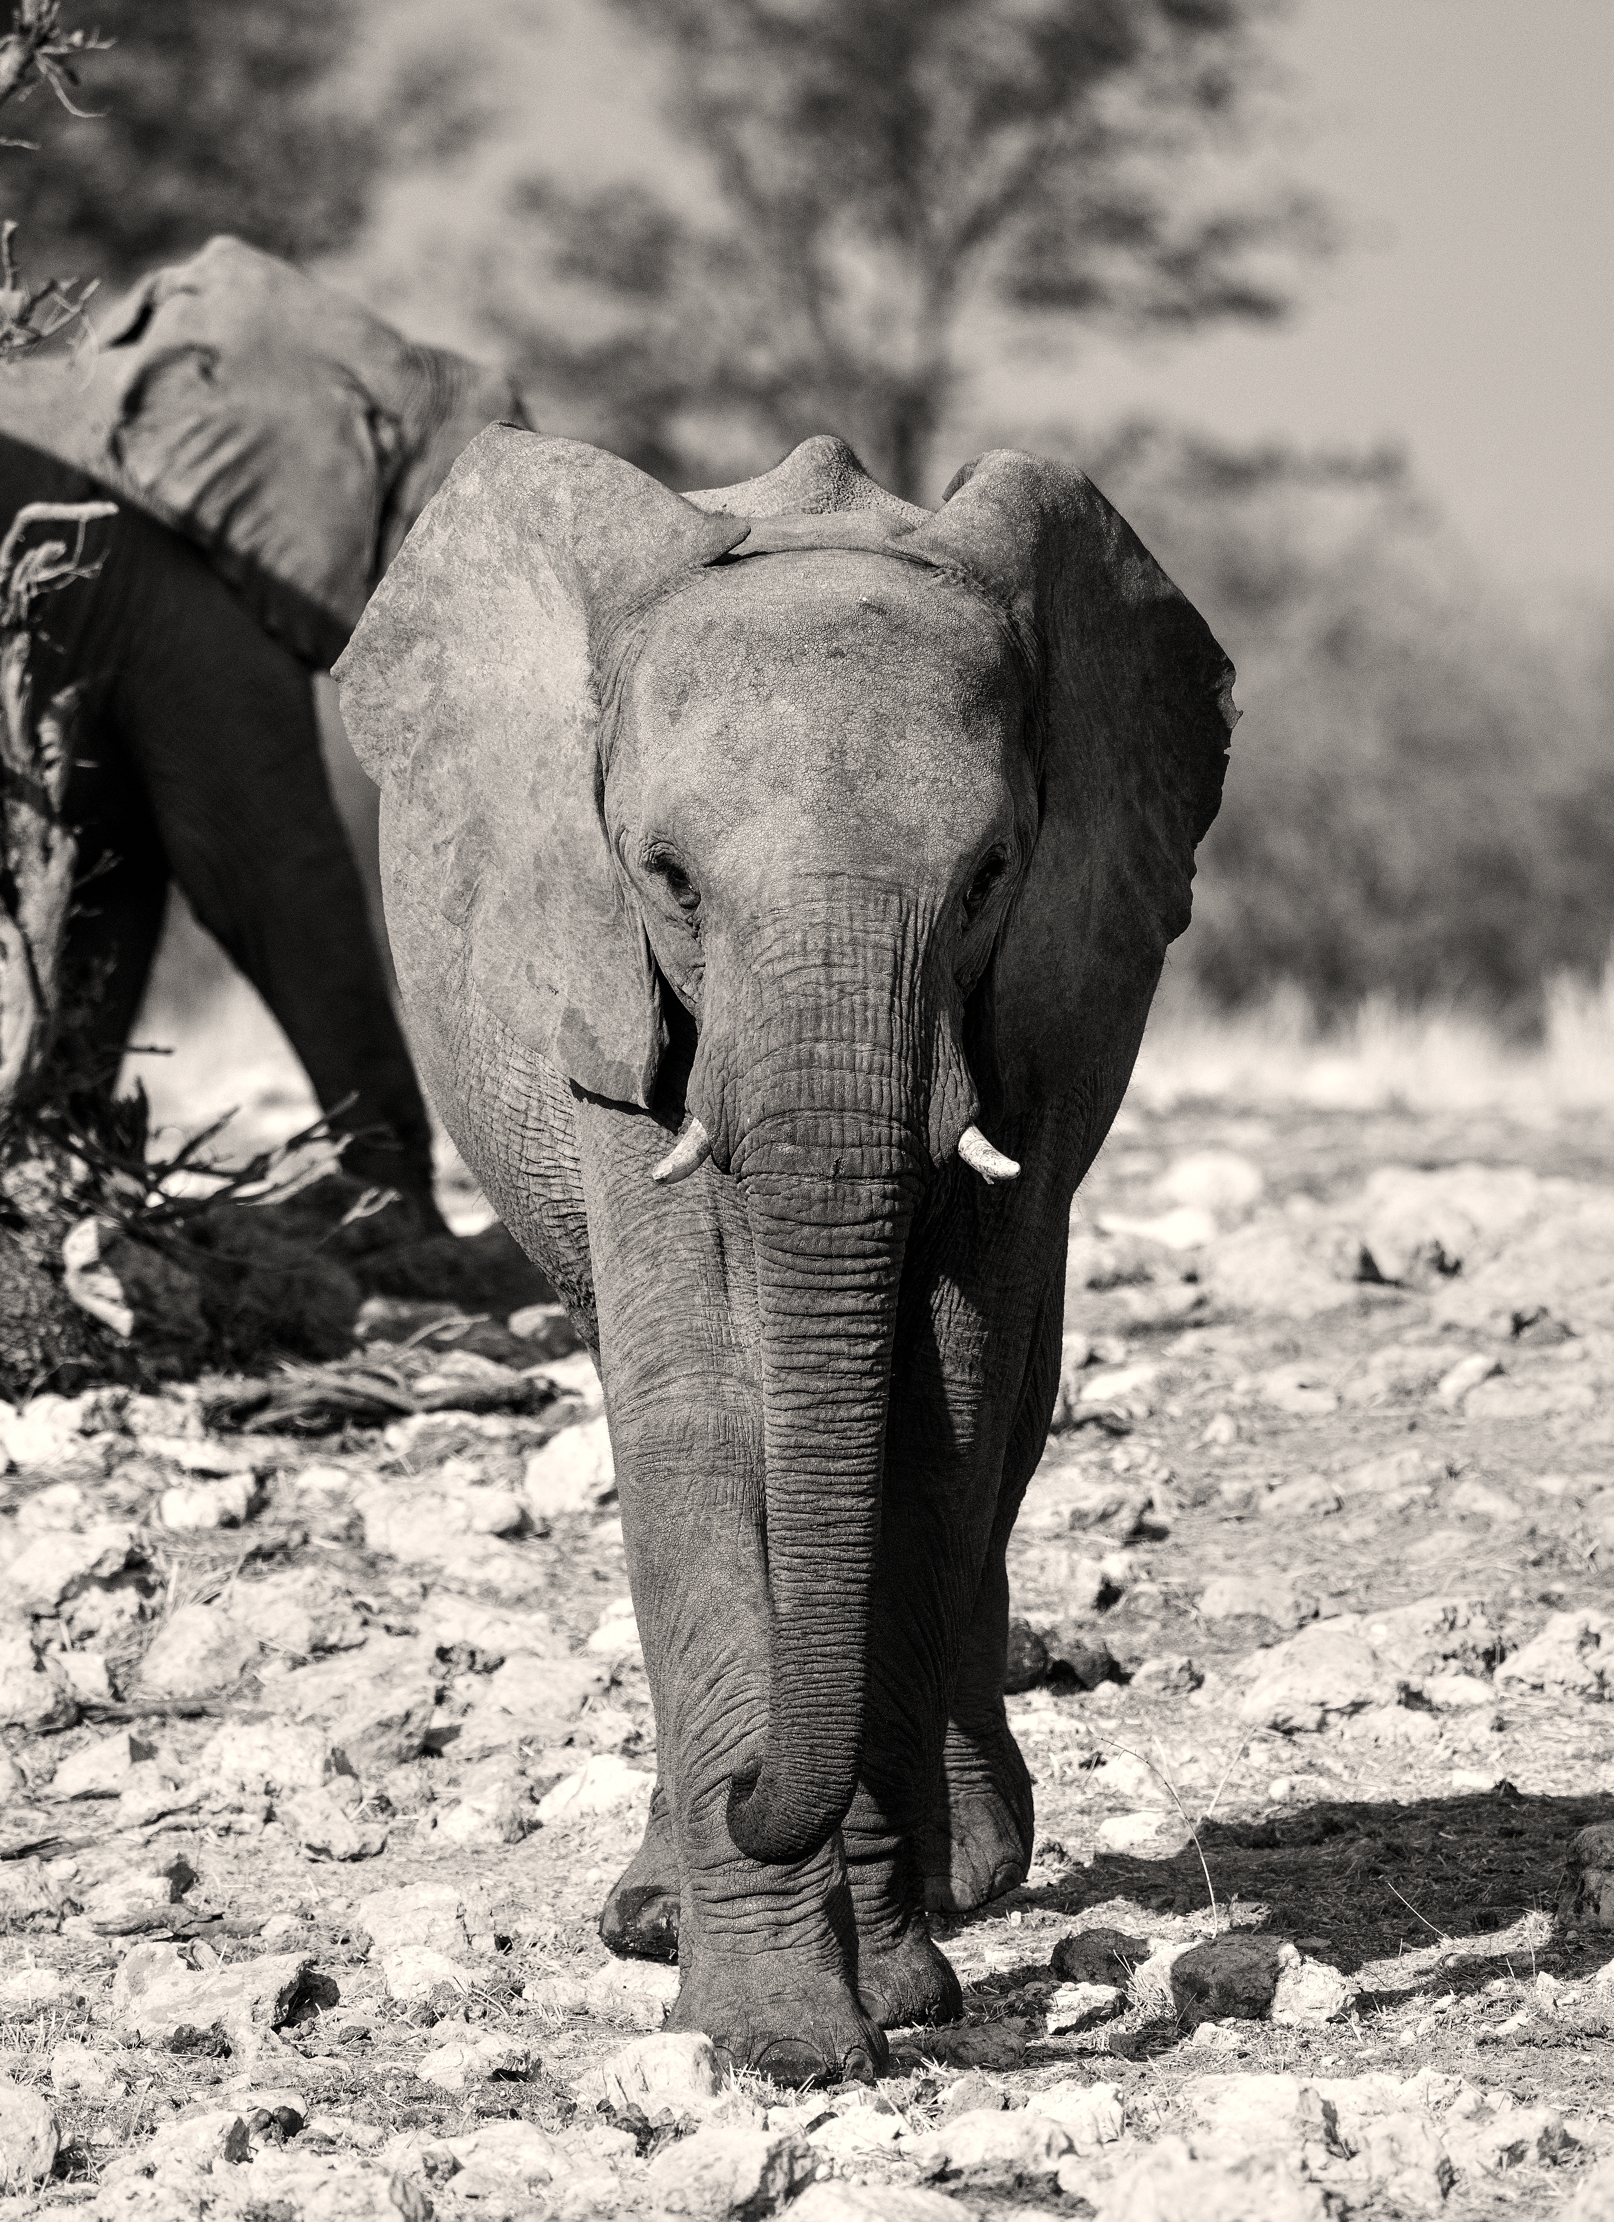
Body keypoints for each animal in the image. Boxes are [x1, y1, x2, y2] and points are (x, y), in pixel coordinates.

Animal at [335, 425, 1236, 2082]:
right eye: (668, 875)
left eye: (991, 874)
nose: (760, 1793)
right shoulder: (609, 1001)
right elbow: (692, 1406)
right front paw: (775, 2033)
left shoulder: (1031, 1014)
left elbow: (940, 1411)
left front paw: (889, 1984)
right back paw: (662, 1905)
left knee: (1010, 1409)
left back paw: (958, 1871)